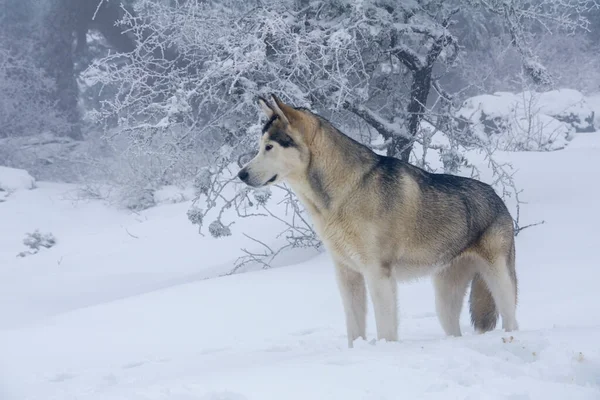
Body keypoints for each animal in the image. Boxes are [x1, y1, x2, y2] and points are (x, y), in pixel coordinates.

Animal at [237, 94, 516, 346]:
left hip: (500, 283)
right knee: (453, 329)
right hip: (444, 299)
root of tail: (497, 197)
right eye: (260, 146)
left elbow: (385, 329)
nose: (241, 174)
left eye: (269, 147)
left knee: (512, 320)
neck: (343, 194)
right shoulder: (347, 274)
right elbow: (354, 329)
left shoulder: (378, 274)